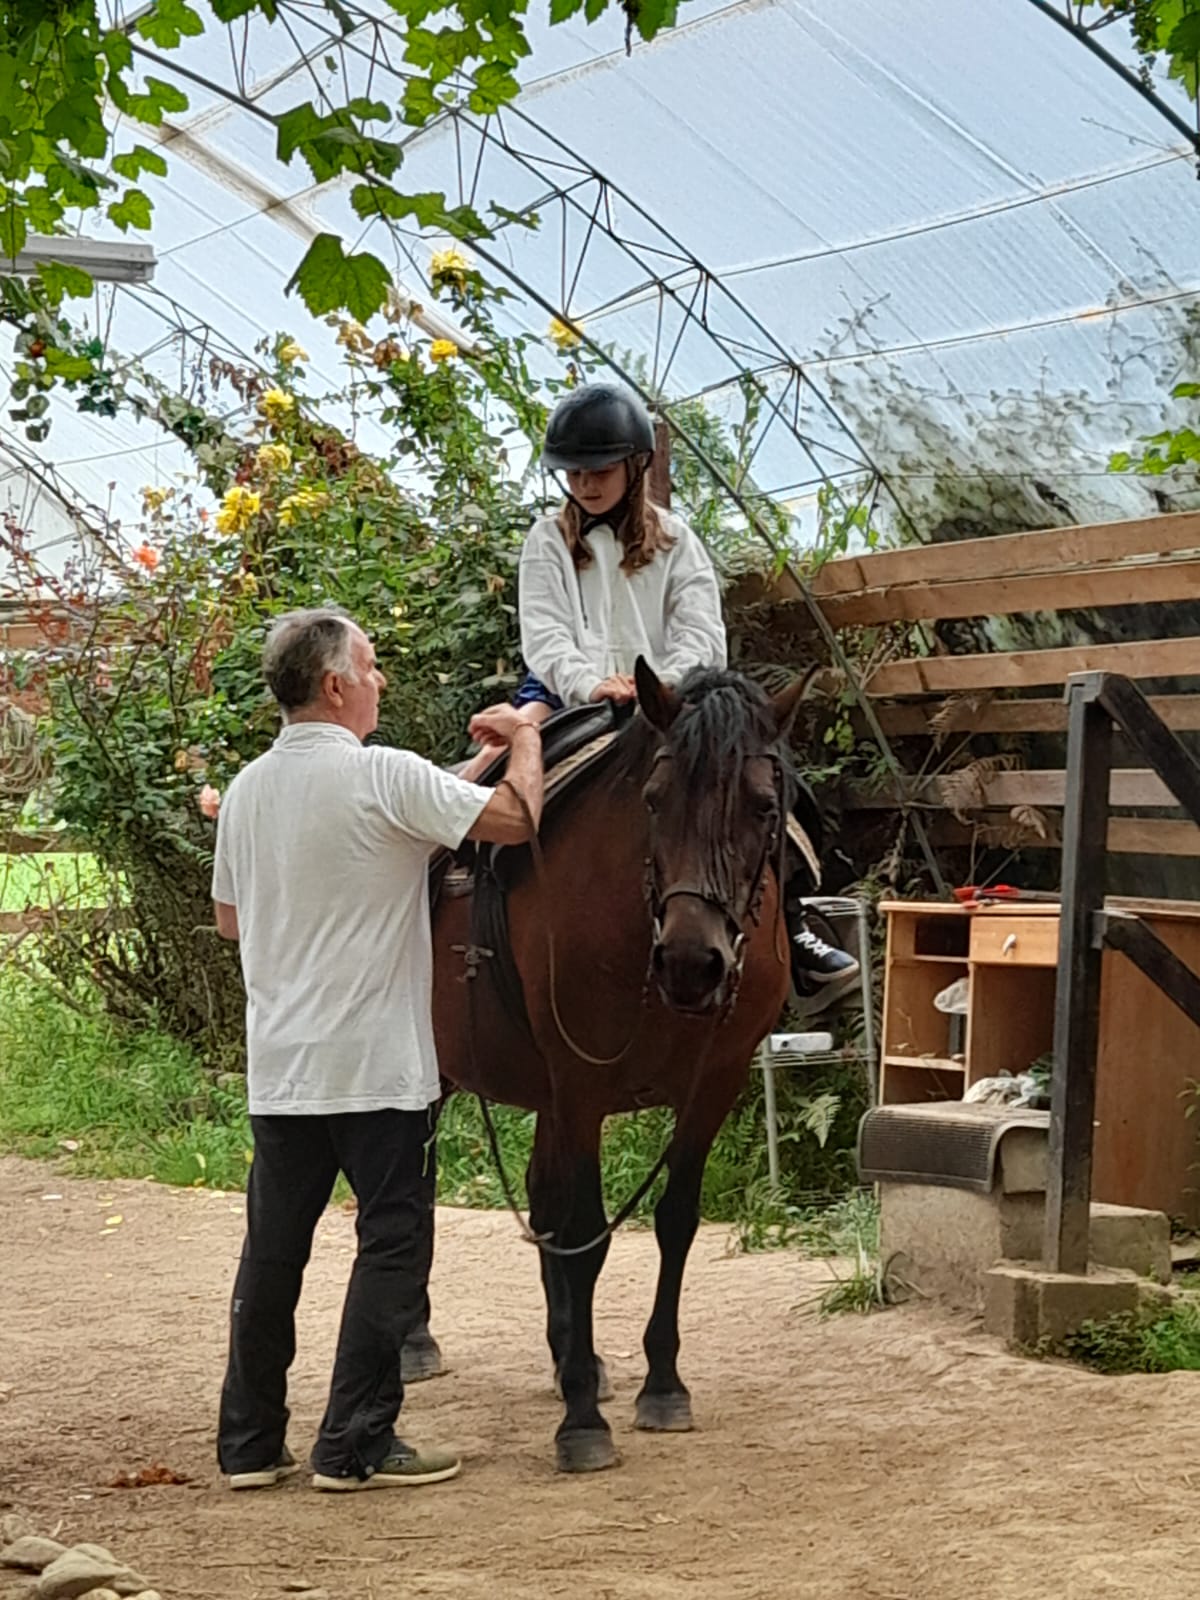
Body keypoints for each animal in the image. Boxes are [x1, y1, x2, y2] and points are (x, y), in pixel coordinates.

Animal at [424, 657, 806, 1472]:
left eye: (764, 806)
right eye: (654, 800)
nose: (693, 963)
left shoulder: (712, 1086)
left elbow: (673, 1222)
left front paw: (659, 1384)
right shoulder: (581, 1087)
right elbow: (587, 1236)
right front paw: (581, 1422)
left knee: (539, 1206)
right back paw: (415, 1344)